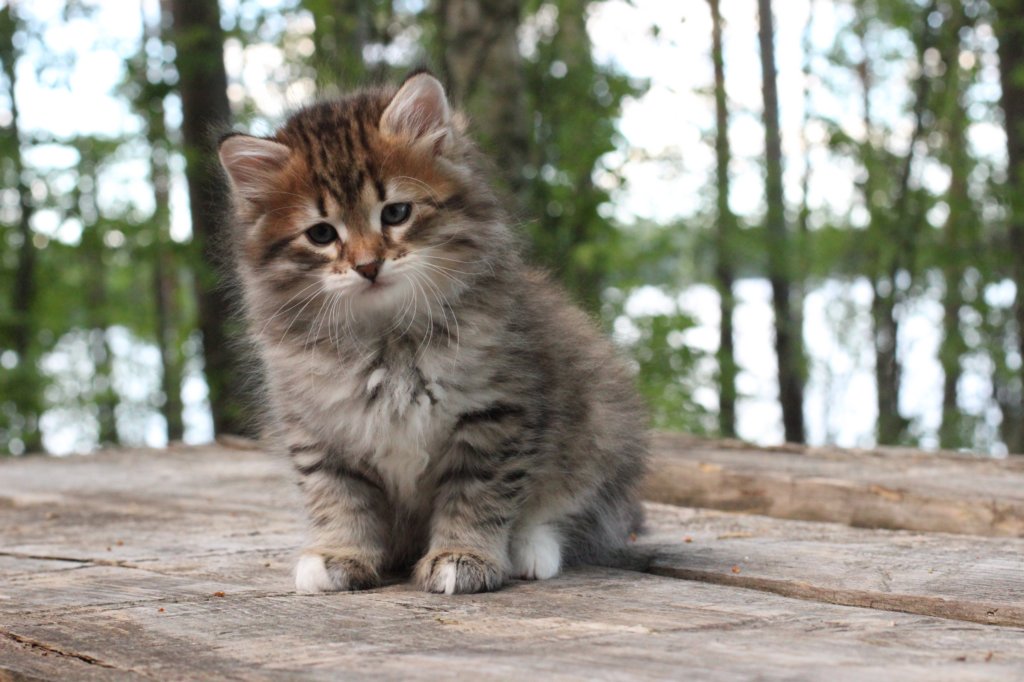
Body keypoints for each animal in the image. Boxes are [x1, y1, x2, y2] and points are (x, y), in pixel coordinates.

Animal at [218, 71, 648, 595]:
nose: (368, 266)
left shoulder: (496, 414)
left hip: (603, 424)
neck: (387, 340)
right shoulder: (319, 430)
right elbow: (339, 499)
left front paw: (463, 556)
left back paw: (531, 548)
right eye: (321, 234)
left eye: (395, 213)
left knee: (571, 510)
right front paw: (340, 553)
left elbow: (477, 495)